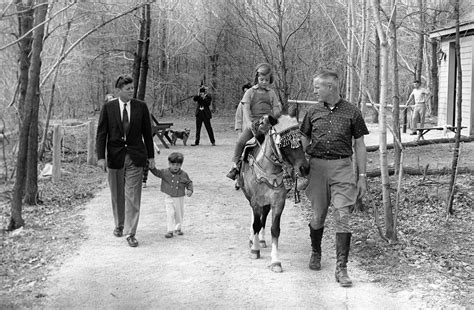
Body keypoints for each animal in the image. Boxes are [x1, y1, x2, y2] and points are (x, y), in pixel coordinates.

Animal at [239, 113, 310, 272]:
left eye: (300, 141)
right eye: (284, 143)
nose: (304, 168)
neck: (268, 172)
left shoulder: (278, 202)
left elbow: (274, 229)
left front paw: (276, 261)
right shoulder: (256, 201)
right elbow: (256, 224)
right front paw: (255, 250)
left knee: (263, 217)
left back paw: (261, 239)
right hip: (250, 197)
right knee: (255, 218)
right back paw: (252, 239)